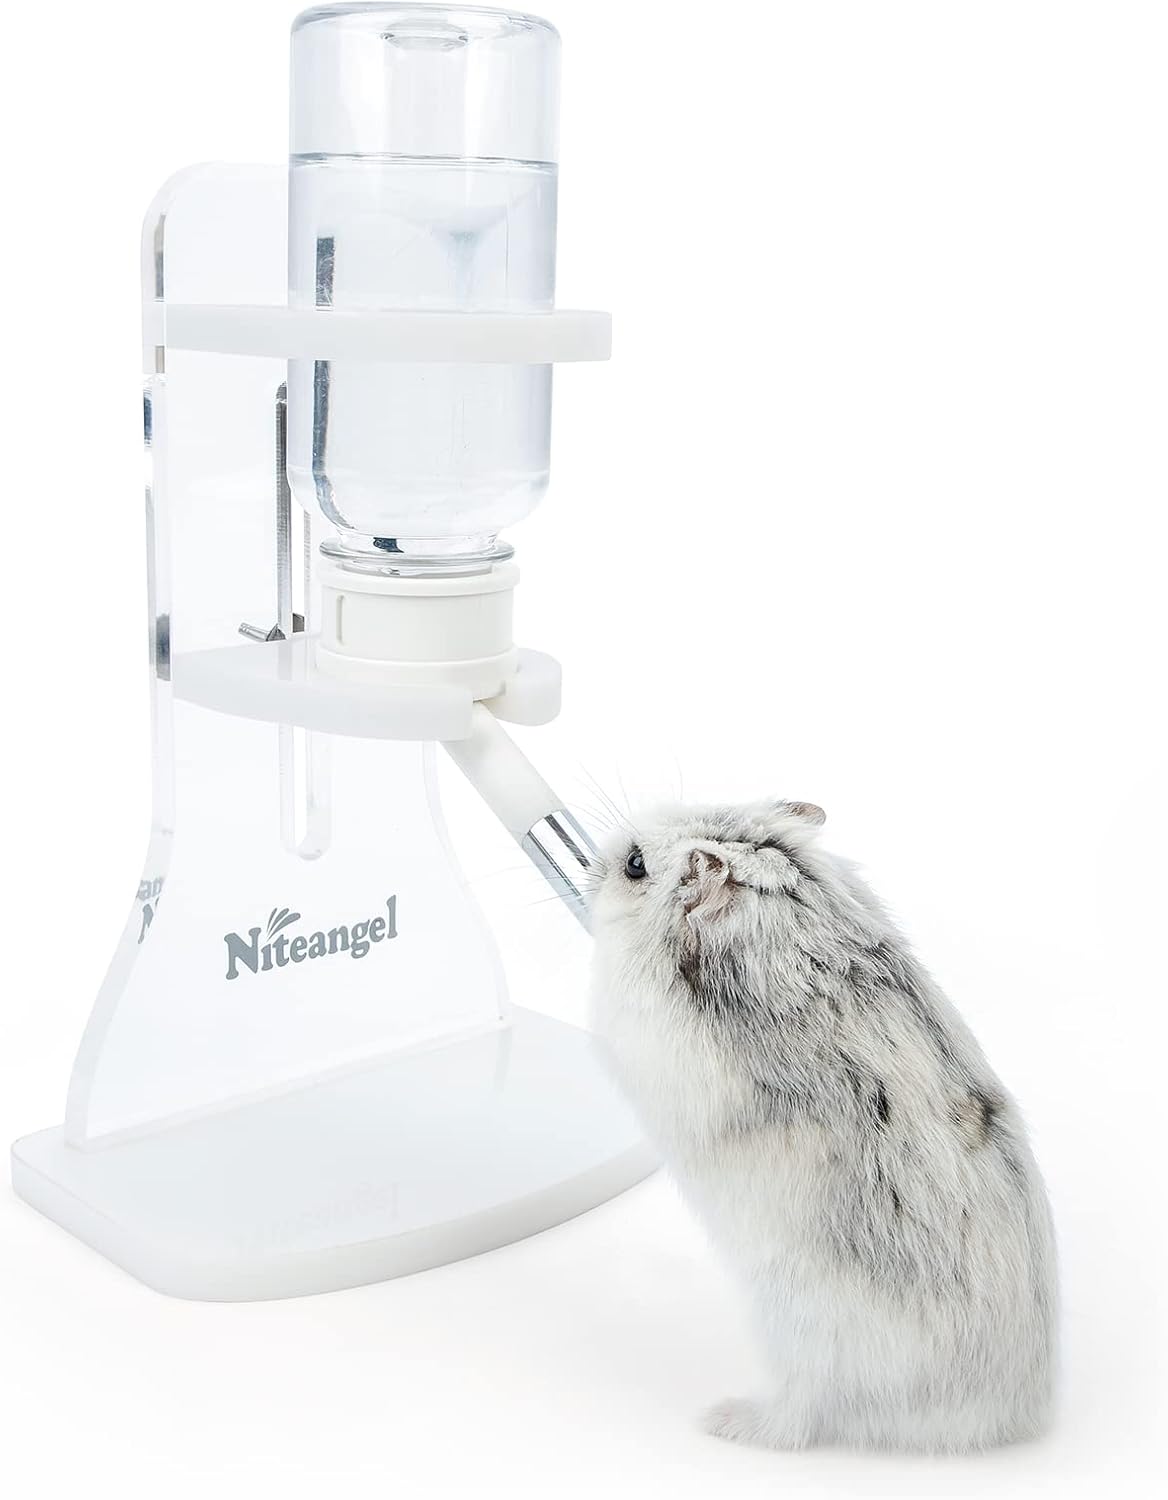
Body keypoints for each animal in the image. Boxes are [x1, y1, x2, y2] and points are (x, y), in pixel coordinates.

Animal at [588, 799, 1056, 1455]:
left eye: (634, 864)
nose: (591, 865)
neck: (790, 912)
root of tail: (1006, 1419)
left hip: (801, 1340)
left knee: (798, 1424)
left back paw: (725, 1420)